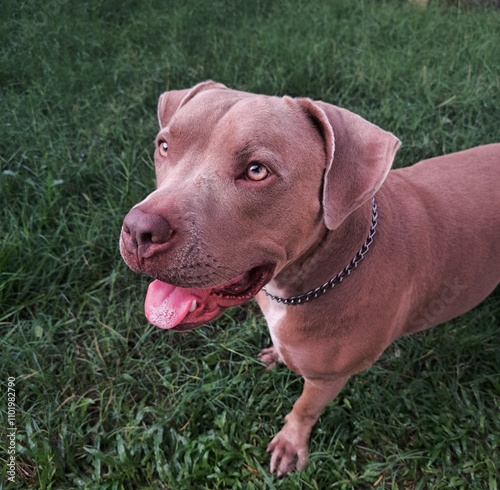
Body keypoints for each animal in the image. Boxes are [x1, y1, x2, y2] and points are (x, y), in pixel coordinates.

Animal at [119, 82, 498, 476]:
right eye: (164, 146)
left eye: (257, 171)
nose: (139, 230)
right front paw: (277, 354)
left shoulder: (327, 379)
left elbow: (304, 409)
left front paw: (290, 444)